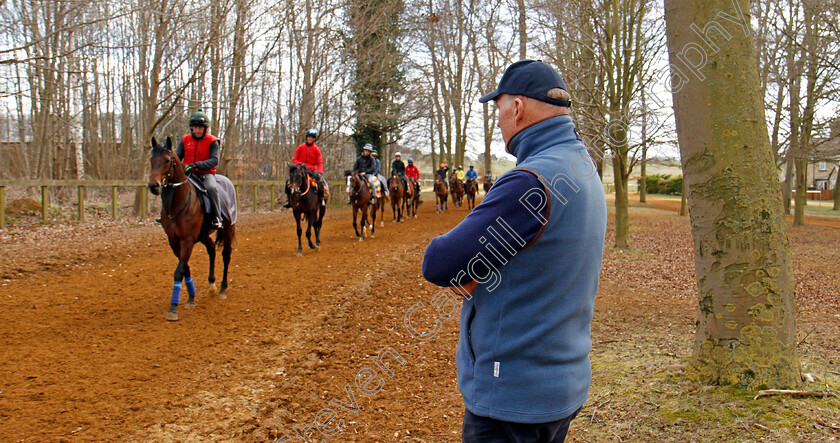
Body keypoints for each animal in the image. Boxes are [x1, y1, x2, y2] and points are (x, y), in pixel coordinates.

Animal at [148, 137, 236, 320]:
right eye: (151, 160)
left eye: (167, 161)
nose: (154, 186)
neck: (177, 204)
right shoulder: (174, 241)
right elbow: (185, 268)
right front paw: (191, 297)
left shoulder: (187, 240)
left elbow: (179, 270)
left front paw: (173, 308)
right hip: (203, 235)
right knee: (211, 249)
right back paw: (212, 284)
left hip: (227, 228)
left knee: (226, 255)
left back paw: (222, 289)